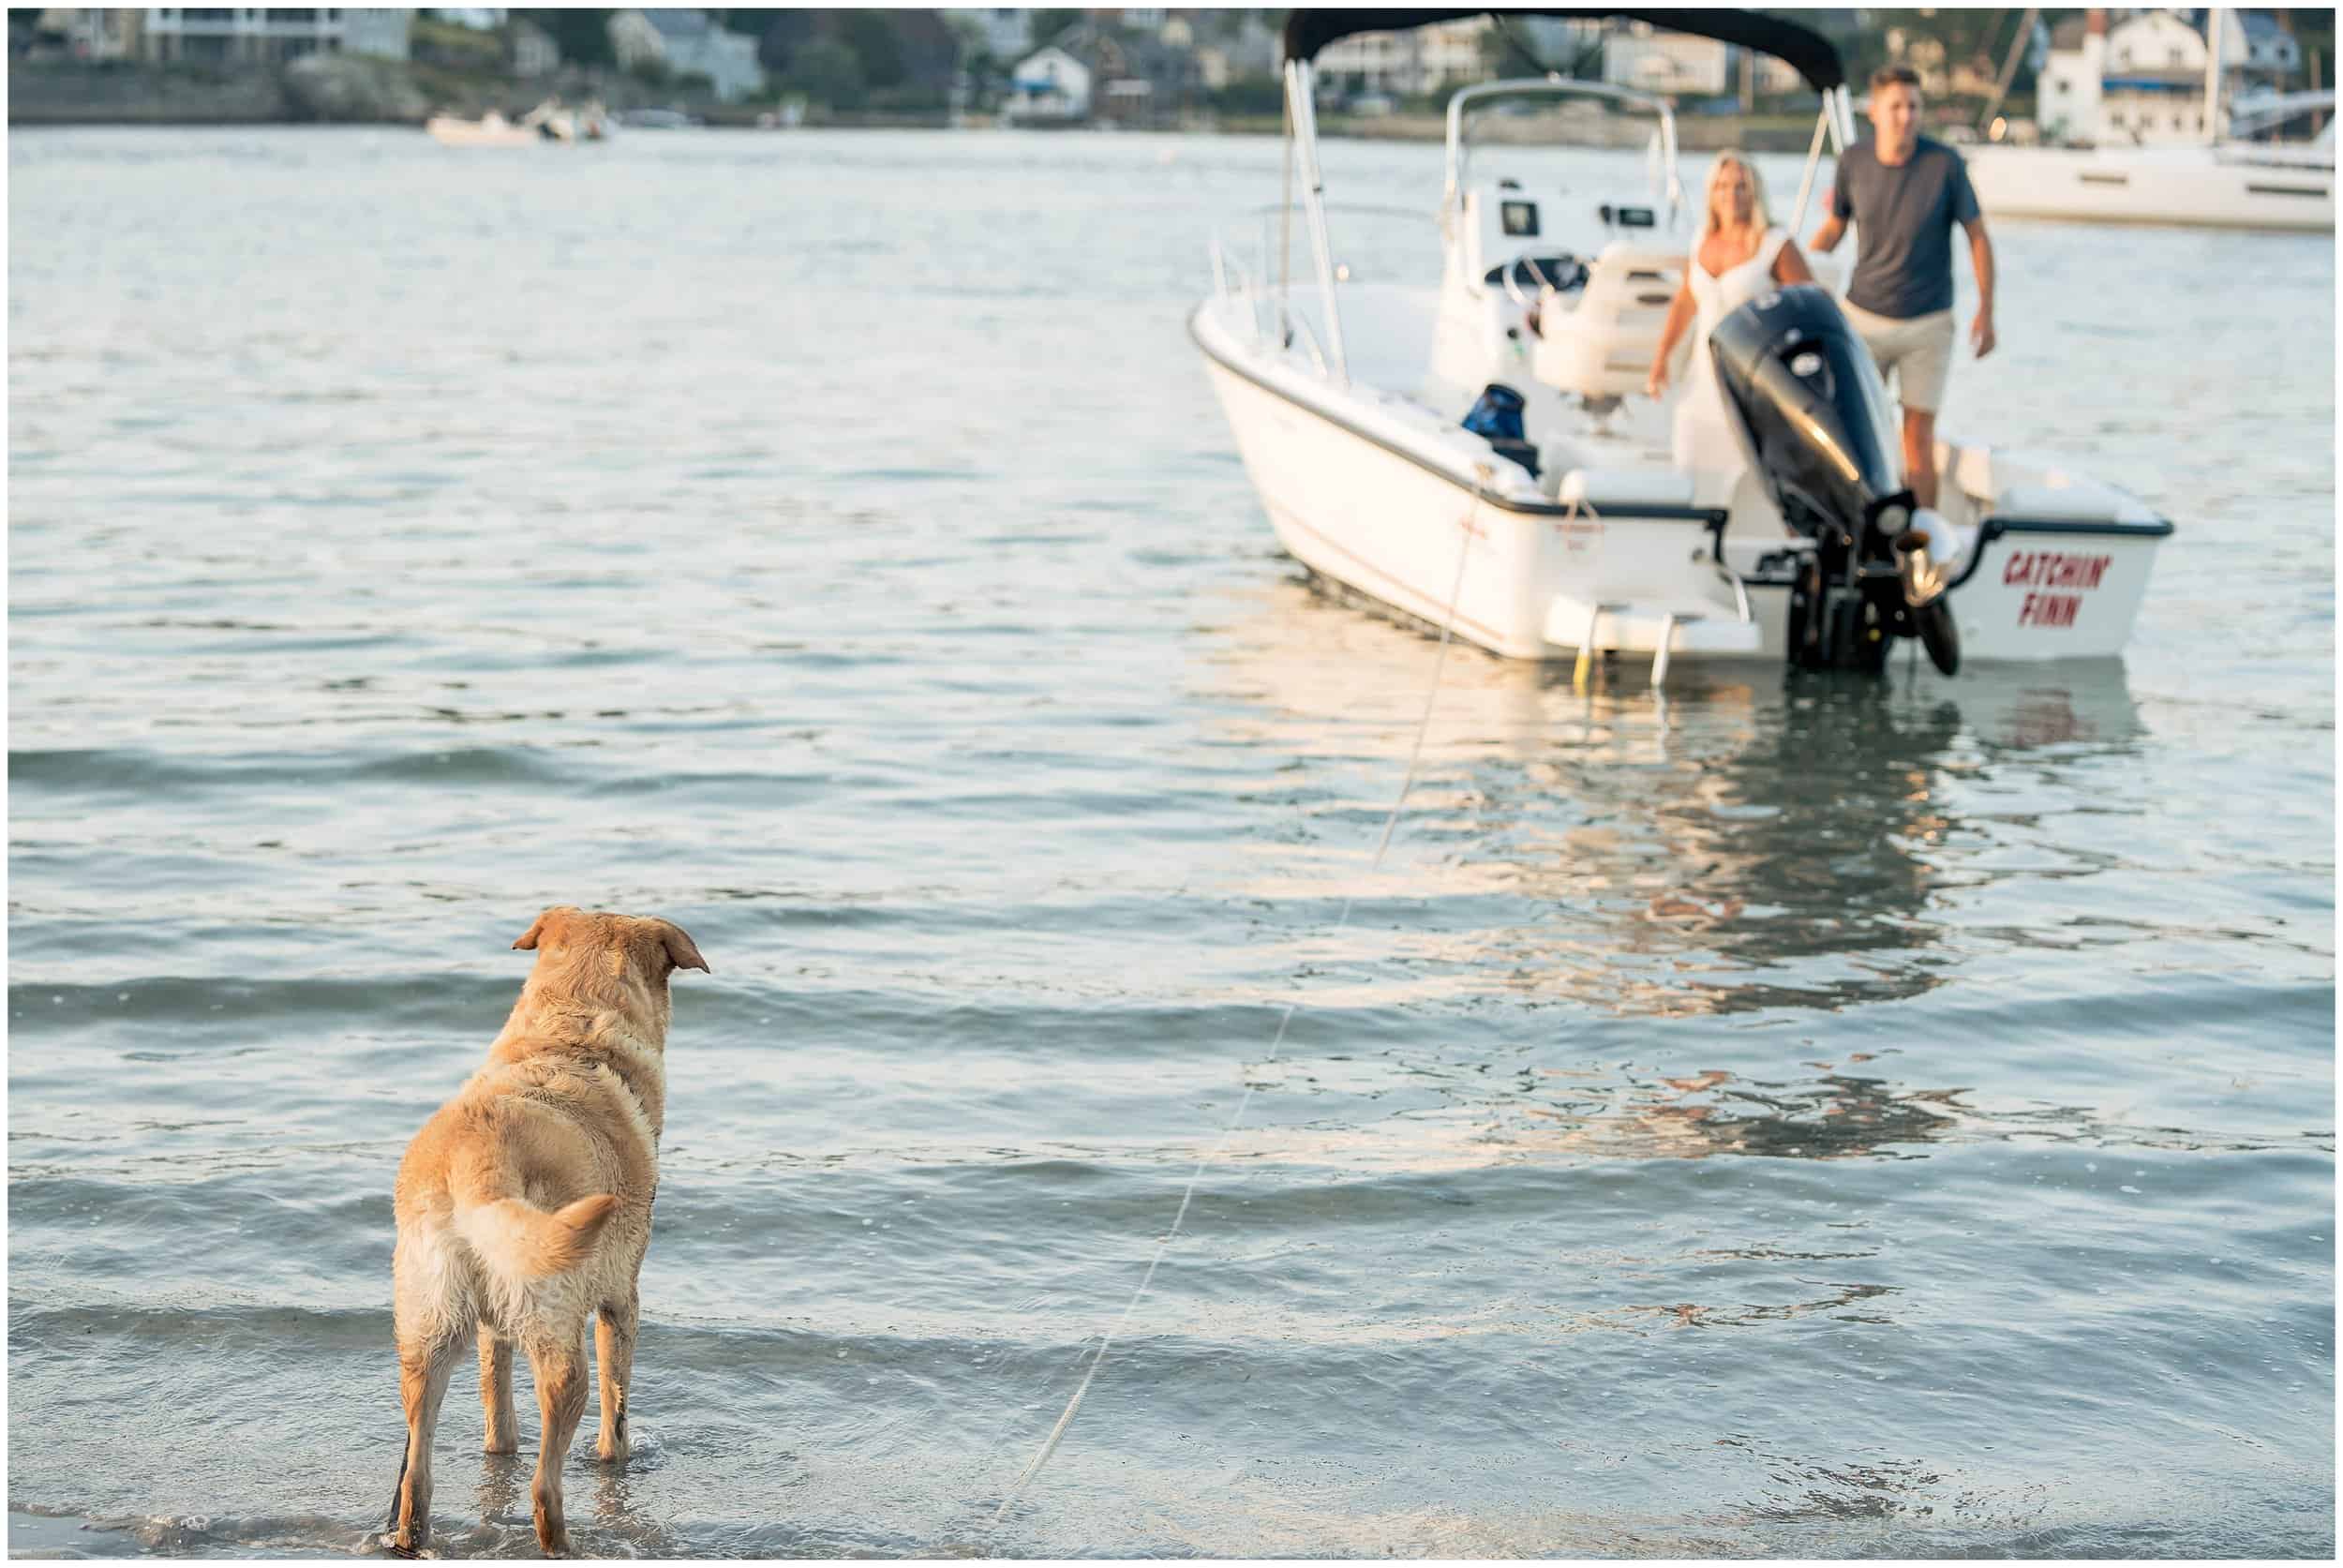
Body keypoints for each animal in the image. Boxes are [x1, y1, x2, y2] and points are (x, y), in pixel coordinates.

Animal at [386, 904, 703, 1556]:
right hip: (560, 1336)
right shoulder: (620, 1298)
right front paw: (615, 1464)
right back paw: (563, 1542)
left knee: (416, 1472)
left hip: (429, 1327)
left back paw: (409, 1534)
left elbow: (496, 1406)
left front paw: (498, 1446)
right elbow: (617, 1412)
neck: (573, 1031)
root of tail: (475, 1164)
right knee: (545, 1482)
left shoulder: (492, 1322)